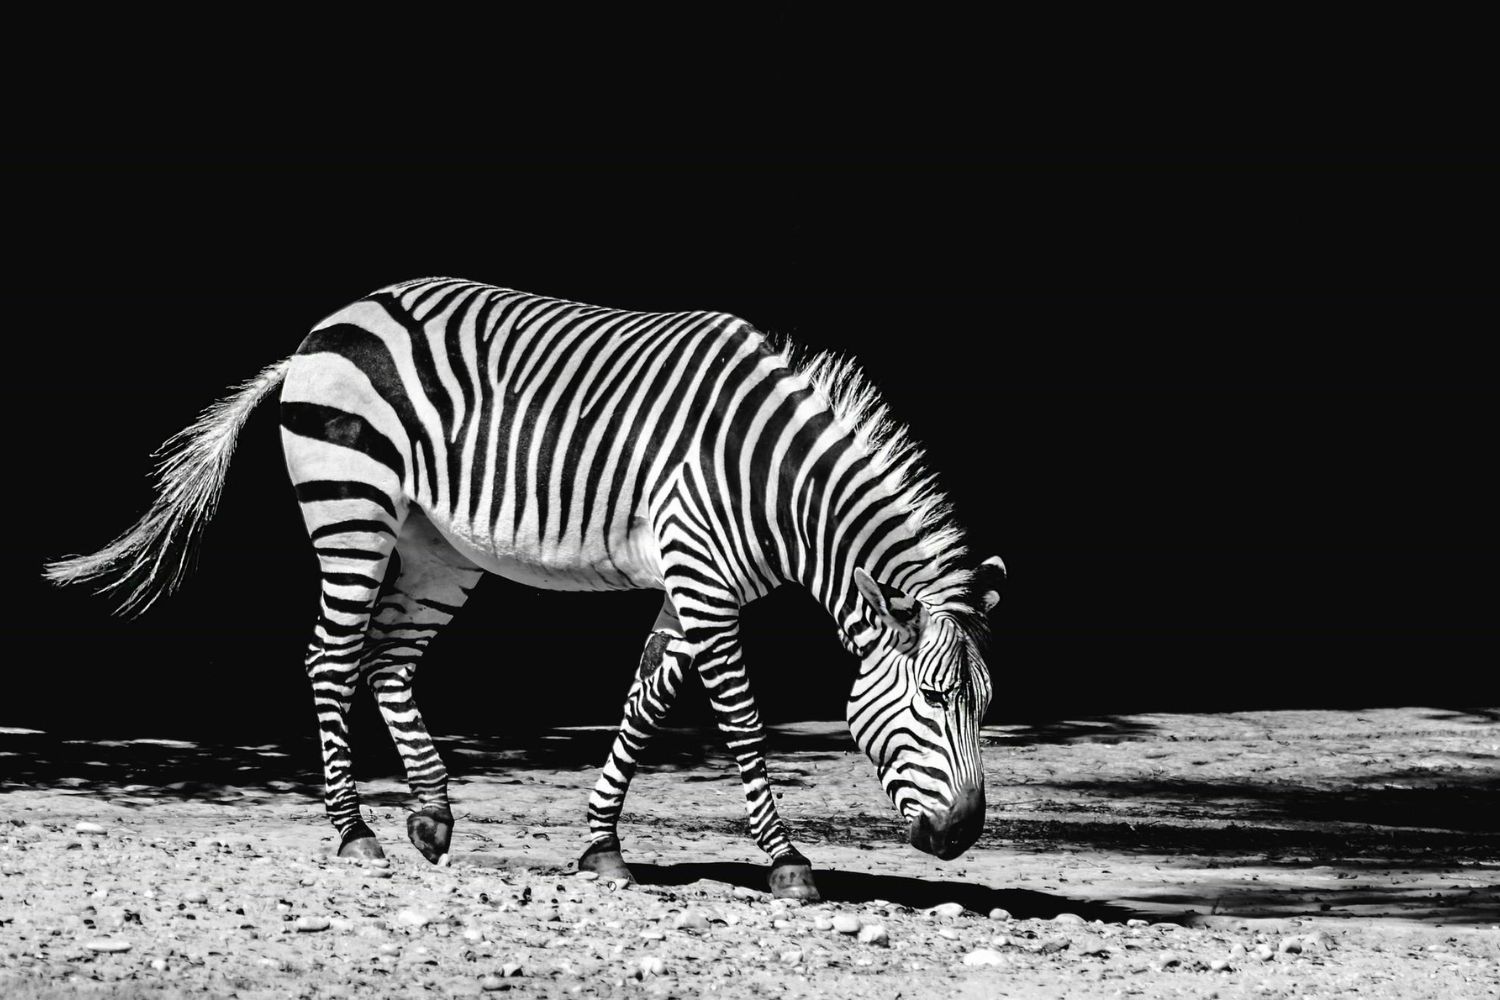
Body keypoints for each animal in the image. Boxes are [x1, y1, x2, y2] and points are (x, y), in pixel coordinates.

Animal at [44, 277, 1006, 900]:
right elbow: (738, 718)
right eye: (930, 700)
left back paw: (430, 817)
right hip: (352, 506)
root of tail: (330, 323)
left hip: (437, 543)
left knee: (388, 663)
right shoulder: (701, 577)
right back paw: (353, 831)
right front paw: (786, 862)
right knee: (330, 657)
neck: (775, 480)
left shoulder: (693, 583)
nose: (964, 837)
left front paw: (602, 846)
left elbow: (645, 703)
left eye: (984, 706)